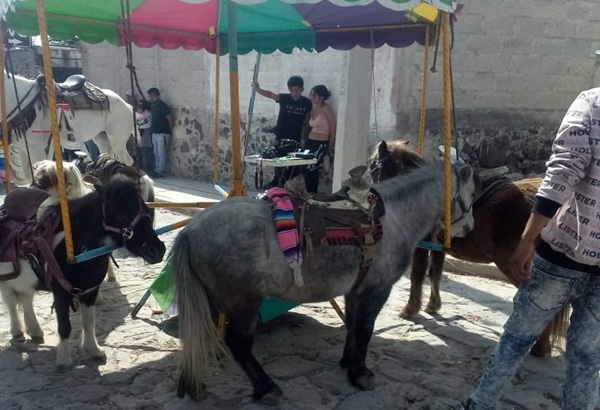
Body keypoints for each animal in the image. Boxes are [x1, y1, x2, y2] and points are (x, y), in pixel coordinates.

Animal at [0, 175, 166, 366]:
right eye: (122, 217)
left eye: (147, 212)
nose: (157, 250)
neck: (76, 251)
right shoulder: (61, 293)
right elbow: (65, 326)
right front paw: (64, 360)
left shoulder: (90, 291)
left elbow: (88, 323)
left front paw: (94, 350)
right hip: (5, 280)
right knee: (11, 302)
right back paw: (17, 332)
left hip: (26, 280)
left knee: (26, 299)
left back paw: (35, 331)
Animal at [3, 72, 134, 184]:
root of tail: (127, 105)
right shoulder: (22, 149)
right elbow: (28, 176)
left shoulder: (38, 149)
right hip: (102, 138)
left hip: (117, 140)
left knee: (127, 161)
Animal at [170, 159, 478, 402]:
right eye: (472, 193)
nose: (469, 228)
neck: (395, 217)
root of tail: (191, 230)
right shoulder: (376, 290)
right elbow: (364, 331)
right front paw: (360, 374)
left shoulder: (355, 291)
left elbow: (352, 327)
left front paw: (347, 363)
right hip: (243, 304)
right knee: (239, 345)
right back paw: (266, 389)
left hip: (212, 300)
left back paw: (194, 385)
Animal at [370, 140, 568, 356]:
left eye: (374, 169)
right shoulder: (438, 245)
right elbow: (435, 273)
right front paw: (433, 305)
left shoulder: (421, 245)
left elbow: (417, 275)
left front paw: (410, 308)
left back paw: (539, 347)